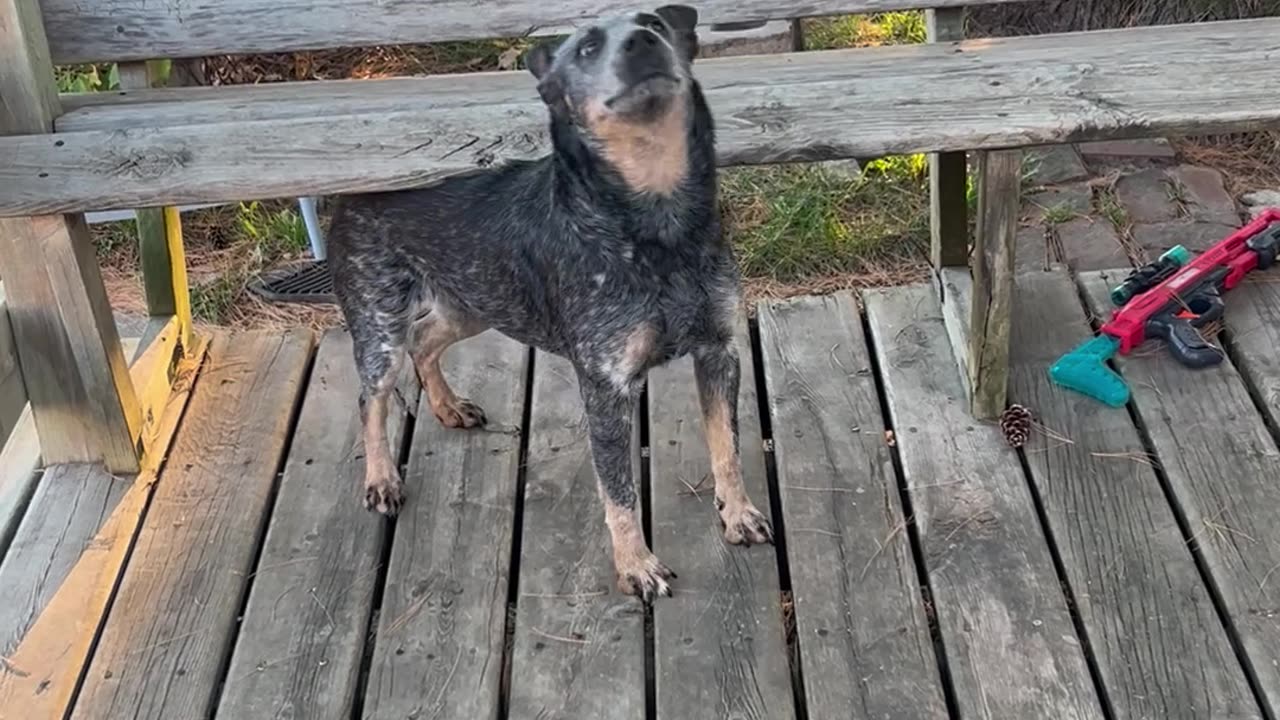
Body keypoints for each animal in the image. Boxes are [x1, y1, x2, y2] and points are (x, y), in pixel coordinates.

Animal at [327, 5, 768, 599]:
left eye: (654, 22)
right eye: (586, 48)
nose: (641, 41)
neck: (657, 227)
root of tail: (350, 196)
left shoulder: (719, 351)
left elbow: (728, 447)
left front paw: (738, 514)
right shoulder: (606, 387)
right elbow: (619, 491)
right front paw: (636, 565)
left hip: (473, 303)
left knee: (425, 341)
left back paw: (448, 406)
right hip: (381, 330)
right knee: (370, 397)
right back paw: (381, 479)